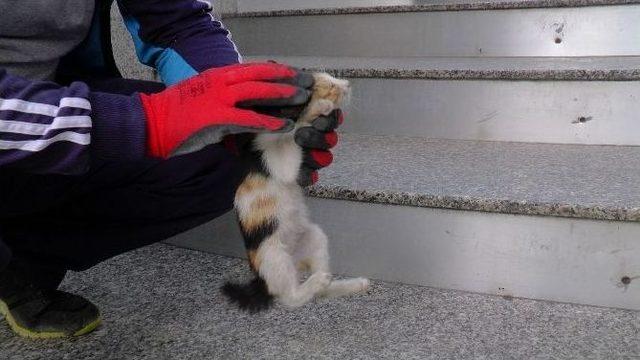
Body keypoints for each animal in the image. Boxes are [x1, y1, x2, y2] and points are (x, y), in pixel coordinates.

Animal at [221, 72, 368, 310]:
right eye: (330, 86)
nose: (347, 83)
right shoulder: (275, 159)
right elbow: (293, 133)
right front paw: (318, 108)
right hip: (273, 255)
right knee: (290, 298)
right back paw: (316, 282)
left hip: (315, 237)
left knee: (321, 292)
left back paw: (349, 283)